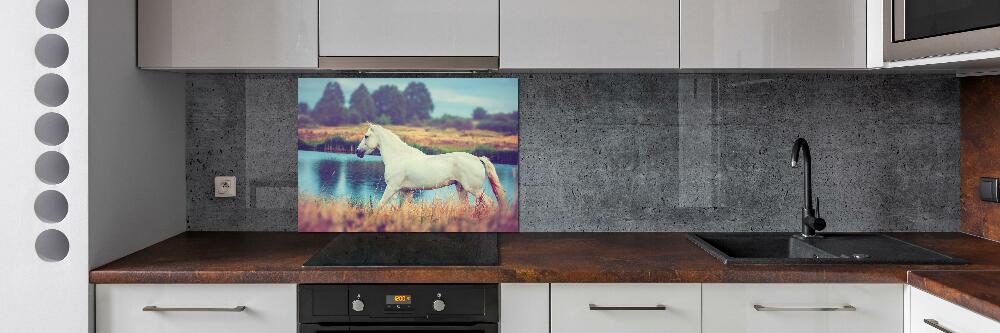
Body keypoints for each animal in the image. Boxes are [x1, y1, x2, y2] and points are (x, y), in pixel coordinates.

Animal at [354, 123, 508, 209]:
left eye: (366, 136)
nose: (357, 152)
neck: (399, 157)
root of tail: (477, 159)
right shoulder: (406, 191)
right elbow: (403, 209)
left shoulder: (392, 188)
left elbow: (380, 206)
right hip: (461, 188)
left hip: (475, 190)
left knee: (489, 203)